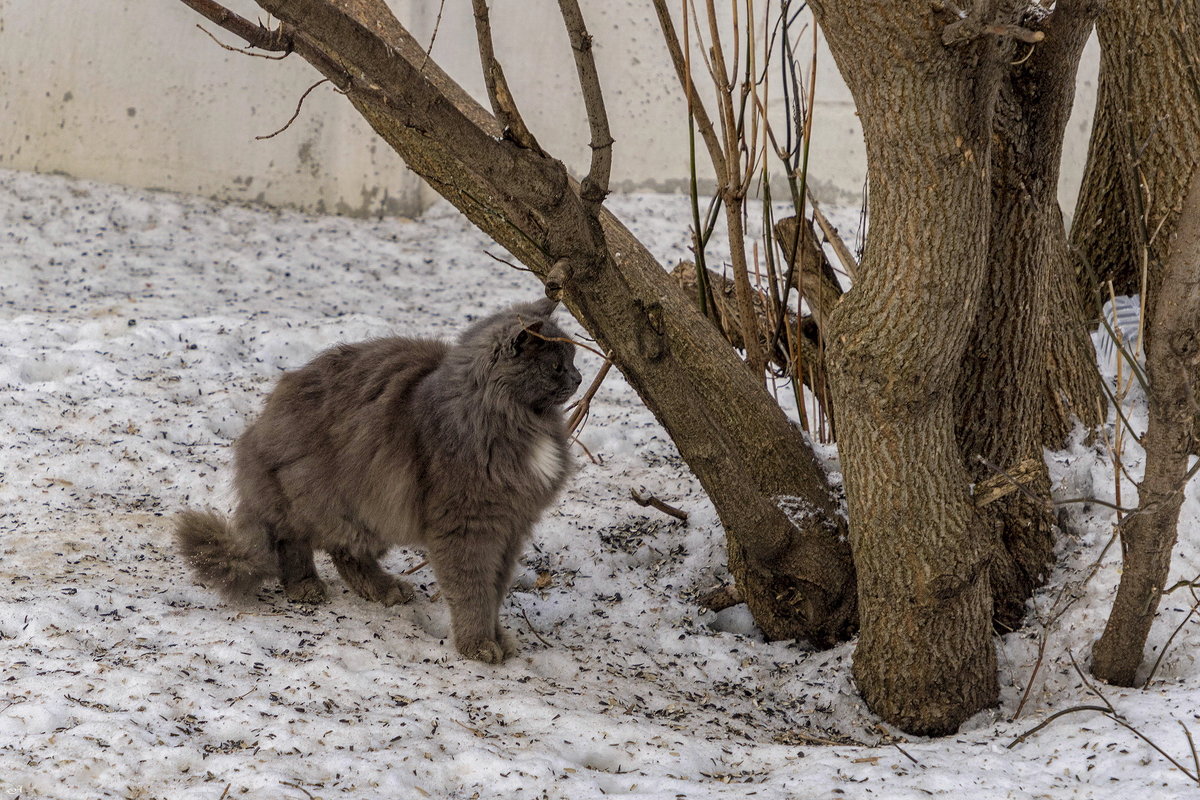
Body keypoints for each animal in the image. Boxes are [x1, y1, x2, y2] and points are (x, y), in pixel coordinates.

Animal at [175, 299, 583, 662]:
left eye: (574, 360)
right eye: (556, 366)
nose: (579, 378)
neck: (520, 422)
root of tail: (261, 426)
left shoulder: (511, 526)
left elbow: (495, 590)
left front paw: (497, 638)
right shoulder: (467, 527)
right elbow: (474, 591)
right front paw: (478, 646)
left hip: (368, 510)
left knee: (344, 554)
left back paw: (385, 590)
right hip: (323, 496)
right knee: (292, 538)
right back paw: (306, 586)